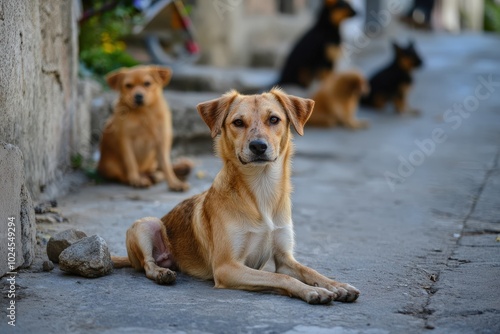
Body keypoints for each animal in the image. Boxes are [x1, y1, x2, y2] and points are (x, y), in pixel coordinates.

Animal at [111, 88, 360, 306]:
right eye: (238, 122)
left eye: (274, 119)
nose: (258, 146)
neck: (261, 191)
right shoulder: (227, 267)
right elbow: (280, 277)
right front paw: (312, 291)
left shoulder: (284, 257)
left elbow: (308, 270)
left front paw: (336, 285)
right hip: (146, 224)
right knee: (147, 264)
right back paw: (161, 272)